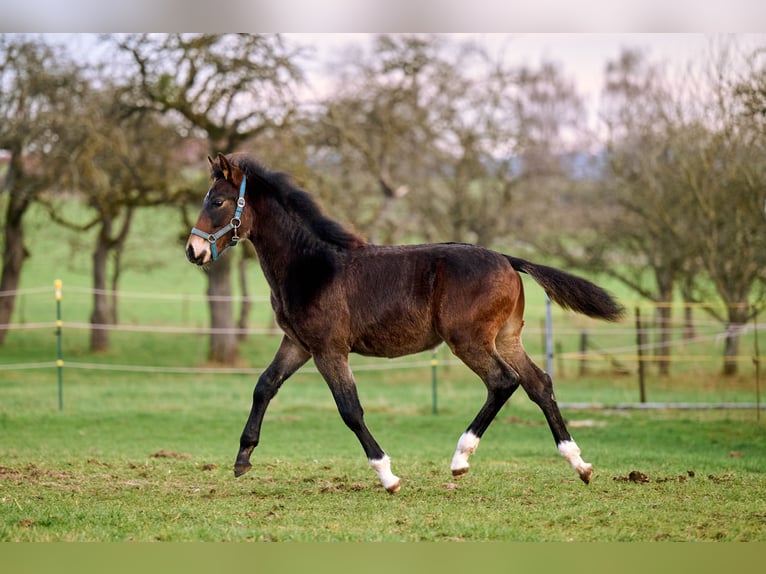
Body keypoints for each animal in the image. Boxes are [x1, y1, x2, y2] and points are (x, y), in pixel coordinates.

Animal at [184, 153, 624, 496]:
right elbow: (264, 386)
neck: (312, 265)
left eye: (218, 201)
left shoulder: (329, 349)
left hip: (469, 340)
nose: (193, 250)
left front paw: (388, 476)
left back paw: (461, 459)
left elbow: (350, 409)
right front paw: (243, 457)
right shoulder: (298, 344)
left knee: (503, 382)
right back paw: (579, 463)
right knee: (539, 383)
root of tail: (507, 259)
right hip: (506, 338)